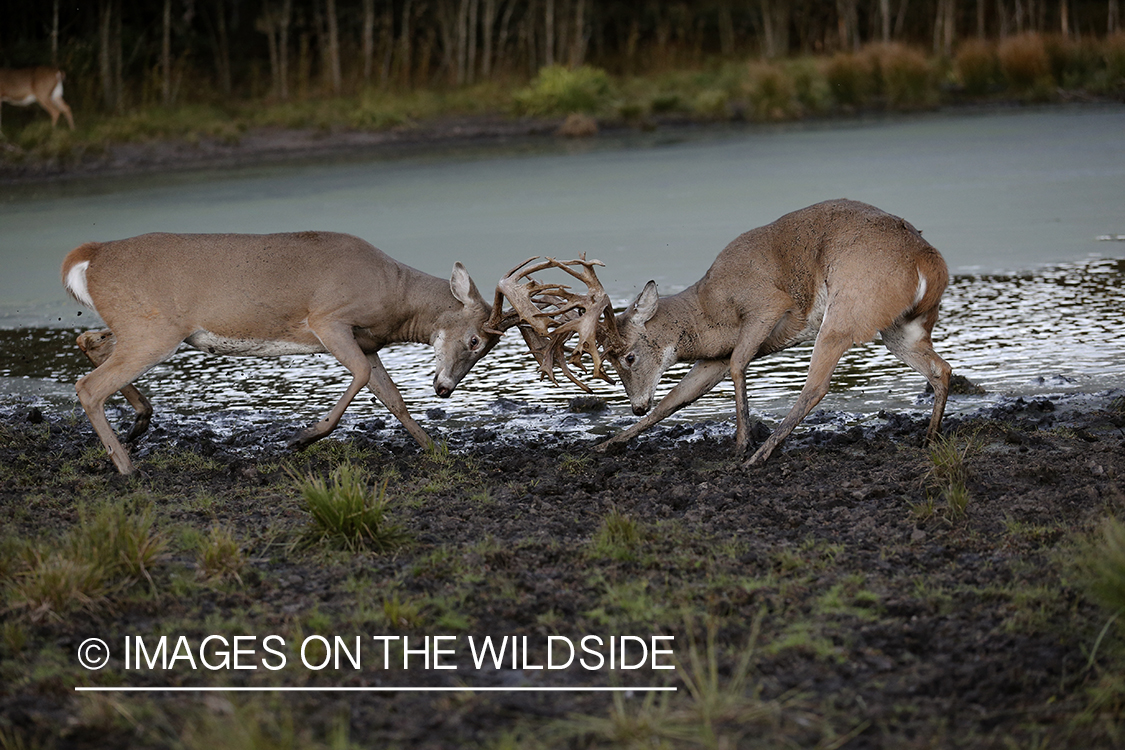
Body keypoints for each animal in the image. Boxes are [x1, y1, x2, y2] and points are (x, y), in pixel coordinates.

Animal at [63, 231, 513, 472]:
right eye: (475, 340)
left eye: (487, 347)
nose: (445, 389)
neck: (395, 298)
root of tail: (90, 256)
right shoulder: (328, 319)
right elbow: (362, 378)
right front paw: (301, 438)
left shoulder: (367, 343)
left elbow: (393, 397)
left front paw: (437, 450)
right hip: (154, 330)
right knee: (88, 386)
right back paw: (126, 465)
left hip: (142, 327)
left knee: (89, 343)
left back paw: (138, 424)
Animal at [497, 201, 954, 470]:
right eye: (606, 357)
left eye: (627, 356)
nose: (635, 405)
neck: (711, 313)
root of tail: (928, 262)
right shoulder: (711, 357)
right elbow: (677, 399)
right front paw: (608, 444)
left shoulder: (767, 305)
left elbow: (738, 366)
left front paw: (740, 443)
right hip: (900, 327)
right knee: (941, 369)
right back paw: (930, 438)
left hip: (847, 309)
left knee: (817, 385)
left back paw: (761, 456)